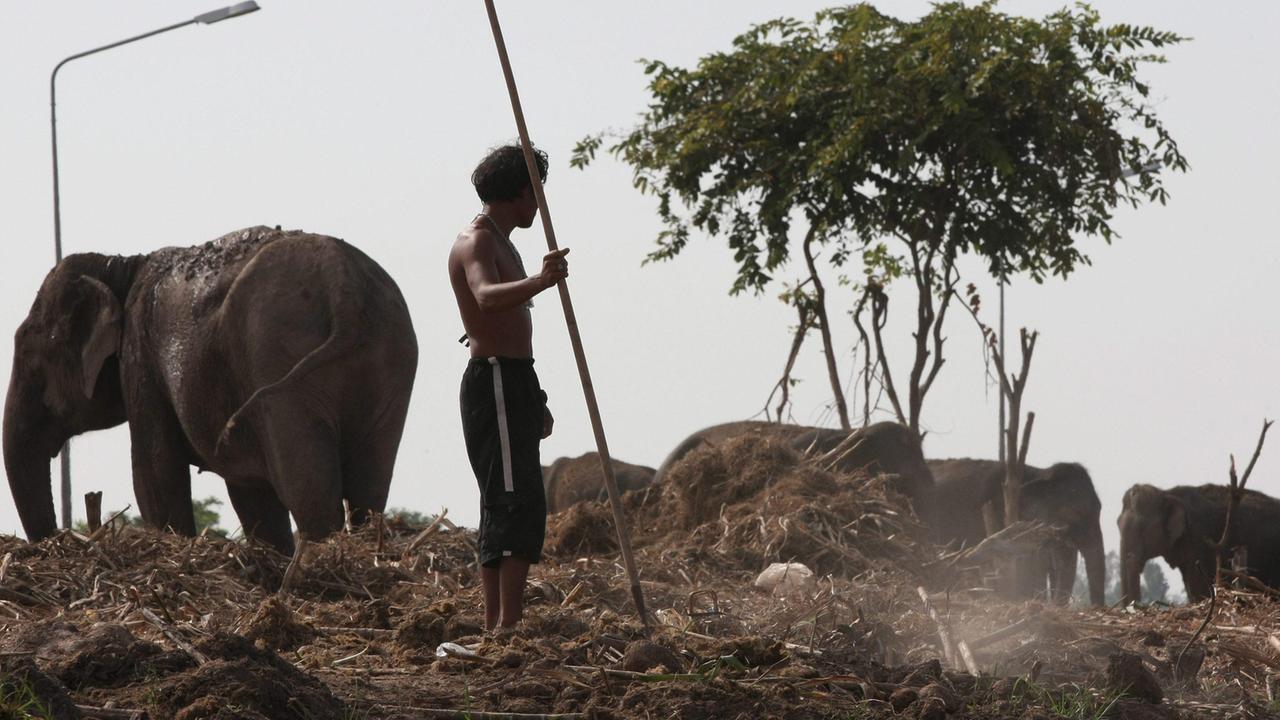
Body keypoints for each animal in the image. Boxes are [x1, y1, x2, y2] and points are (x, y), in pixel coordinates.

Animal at [3, 226, 417, 554]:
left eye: (31, 359)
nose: (54, 540)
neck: (120, 267)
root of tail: (341, 281)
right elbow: (250, 493)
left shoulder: (140, 357)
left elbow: (154, 471)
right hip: (390, 358)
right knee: (369, 484)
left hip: (277, 357)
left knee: (309, 488)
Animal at [1118, 484, 1280, 604]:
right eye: (1117, 524)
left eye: (1142, 529)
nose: (1135, 605)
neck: (1166, 493)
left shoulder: (1202, 542)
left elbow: (1200, 588)